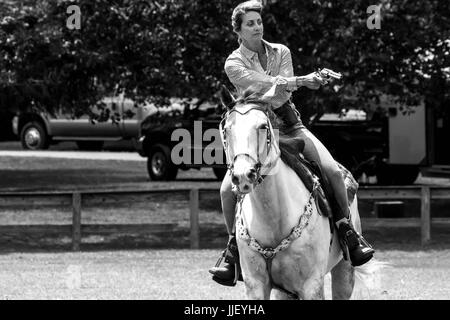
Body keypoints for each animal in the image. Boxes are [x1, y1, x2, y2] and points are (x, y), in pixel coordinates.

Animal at [219, 85, 376, 300]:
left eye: (263, 127)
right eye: (227, 129)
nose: (243, 175)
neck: (274, 218)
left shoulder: (311, 285)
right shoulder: (255, 285)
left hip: (344, 272)